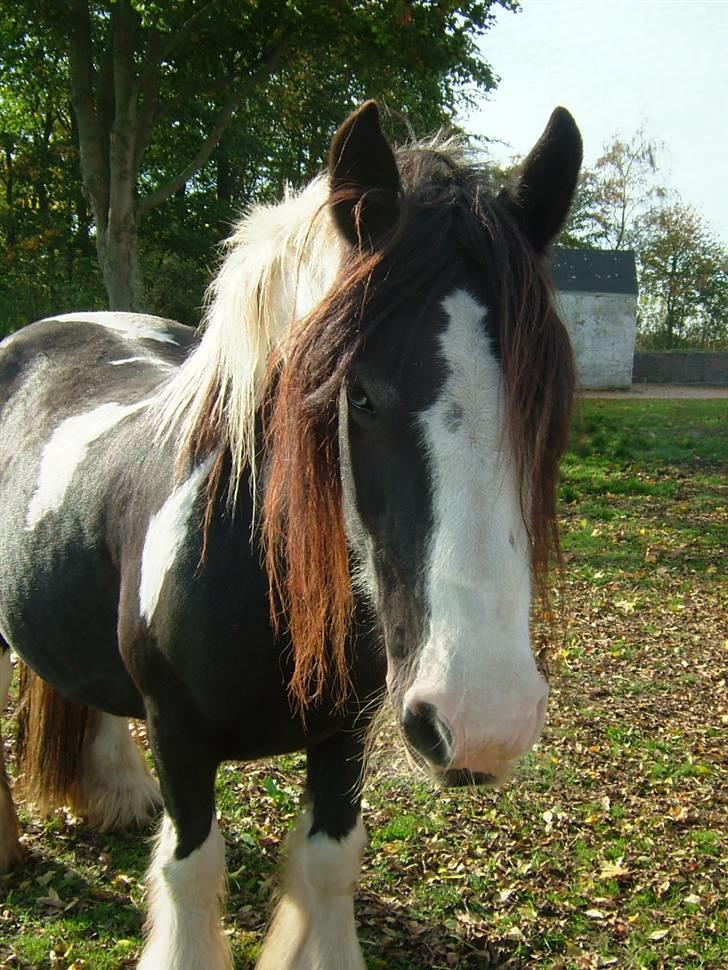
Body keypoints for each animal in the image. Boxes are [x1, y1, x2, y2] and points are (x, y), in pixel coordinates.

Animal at [0, 102, 580, 964]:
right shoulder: (179, 735)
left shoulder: (344, 734)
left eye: (546, 399)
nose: (484, 719)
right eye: (360, 395)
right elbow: (190, 873)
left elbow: (329, 861)